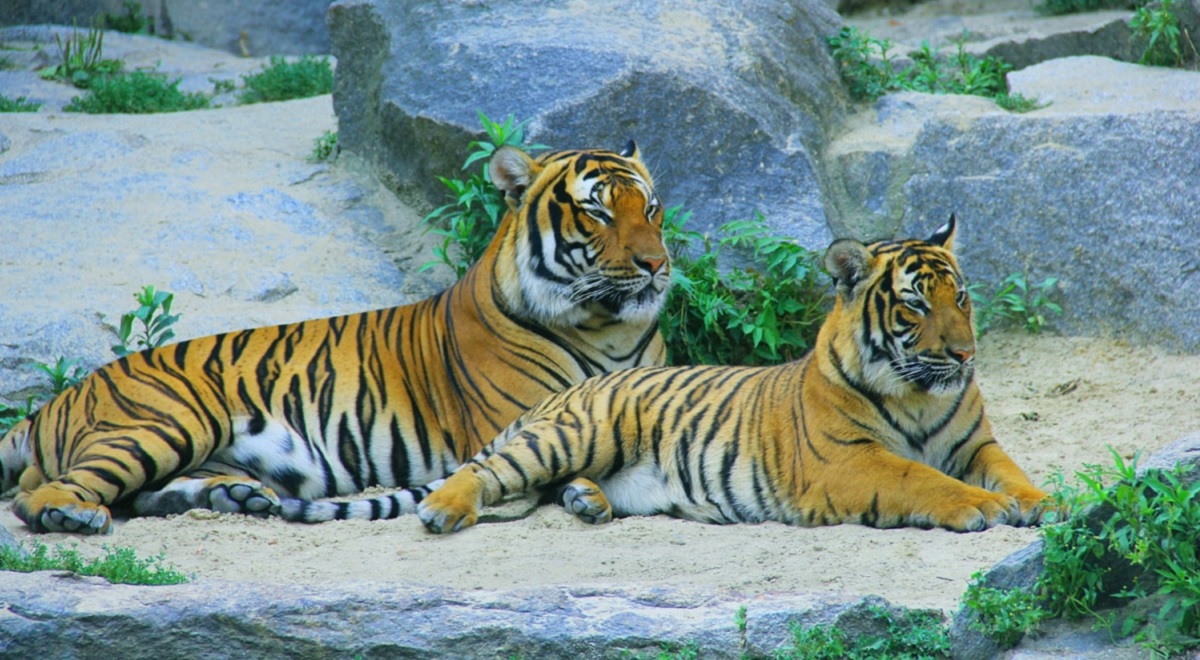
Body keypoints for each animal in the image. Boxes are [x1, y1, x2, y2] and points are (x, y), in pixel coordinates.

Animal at [0, 141, 671, 535]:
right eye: (597, 212)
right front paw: (585, 493)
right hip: (163, 424)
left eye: (651, 208)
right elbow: (550, 463)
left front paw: (594, 496)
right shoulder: (515, 423)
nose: (656, 264)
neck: (609, 326)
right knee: (37, 494)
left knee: (144, 497)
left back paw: (241, 498)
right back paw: (73, 514)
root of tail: (60, 399)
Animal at [407, 215, 1050, 534]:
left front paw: (1042, 502)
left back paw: (588, 501)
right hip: (574, 433)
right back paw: (443, 510)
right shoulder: (849, 460)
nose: (965, 356)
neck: (920, 395)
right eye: (915, 305)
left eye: (960, 297)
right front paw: (984, 507)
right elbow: (922, 480)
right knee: (488, 471)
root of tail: (574, 387)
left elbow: (1010, 471)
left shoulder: (976, 445)